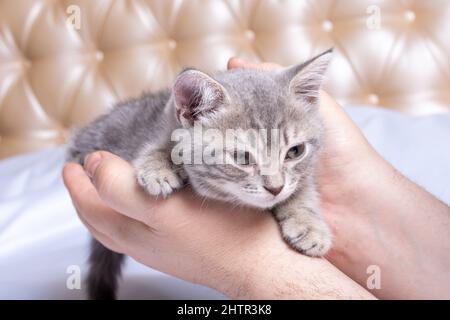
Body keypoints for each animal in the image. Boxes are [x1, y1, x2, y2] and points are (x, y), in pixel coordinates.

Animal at [67, 48, 334, 300]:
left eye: (295, 151)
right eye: (242, 157)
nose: (275, 188)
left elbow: (302, 189)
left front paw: (309, 225)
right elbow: (161, 145)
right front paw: (158, 167)